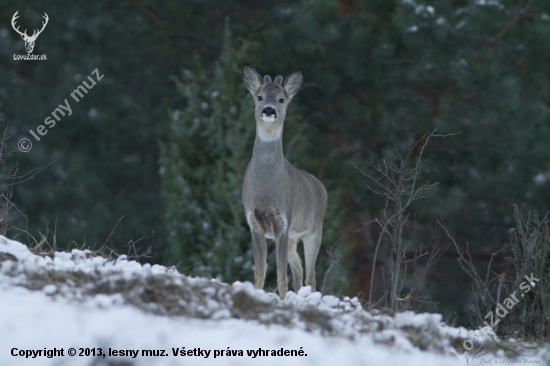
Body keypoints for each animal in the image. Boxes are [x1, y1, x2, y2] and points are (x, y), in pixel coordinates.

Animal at [242, 61, 328, 298]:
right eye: (260, 96)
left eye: (281, 99)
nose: (269, 110)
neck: (265, 190)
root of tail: (321, 187)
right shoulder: (254, 223)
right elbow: (260, 271)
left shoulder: (283, 221)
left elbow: (281, 274)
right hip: (293, 239)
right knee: (298, 268)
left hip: (314, 231)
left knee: (310, 275)